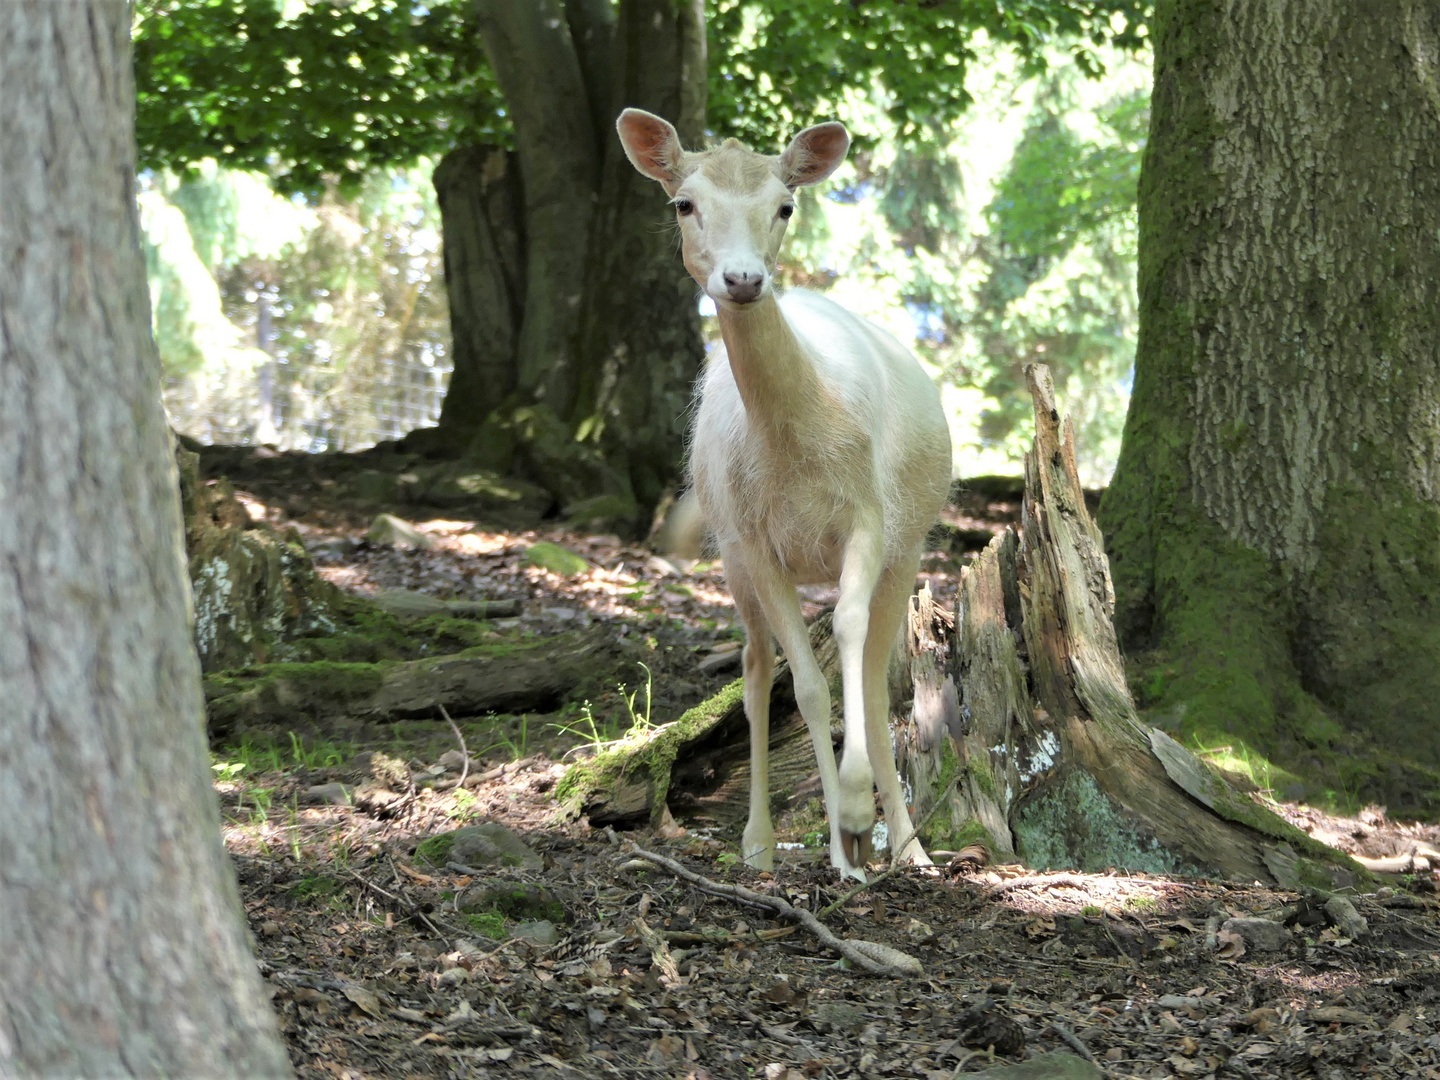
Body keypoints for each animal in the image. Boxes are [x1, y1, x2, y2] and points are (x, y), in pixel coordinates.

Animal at [613, 110, 950, 881]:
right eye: (685, 203)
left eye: (786, 205)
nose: (743, 278)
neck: (799, 453)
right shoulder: (757, 544)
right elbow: (806, 687)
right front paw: (842, 839)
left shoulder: (869, 519)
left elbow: (851, 645)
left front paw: (862, 827)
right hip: (732, 555)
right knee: (755, 667)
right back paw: (760, 843)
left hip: (910, 544)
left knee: (877, 671)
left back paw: (910, 848)